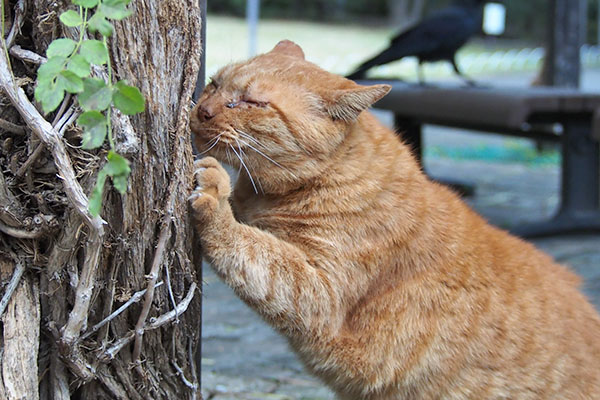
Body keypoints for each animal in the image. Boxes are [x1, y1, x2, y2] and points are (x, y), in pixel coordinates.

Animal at [189, 41, 600, 400]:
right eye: (214, 83)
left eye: (254, 103)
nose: (203, 111)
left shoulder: (321, 292)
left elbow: (255, 251)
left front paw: (215, 199)